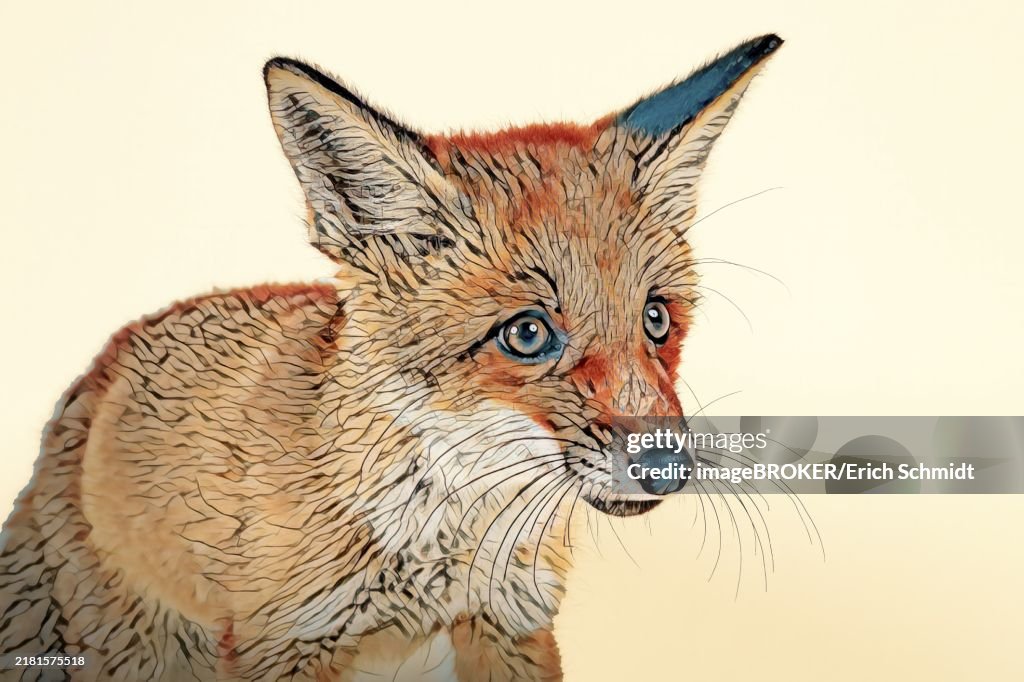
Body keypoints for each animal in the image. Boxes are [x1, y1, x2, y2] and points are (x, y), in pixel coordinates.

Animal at [0, 34, 782, 681]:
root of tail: (102, 366)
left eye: (656, 319)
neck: (435, 557)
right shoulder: (283, 640)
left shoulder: (509, 623)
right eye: (527, 335)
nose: (667, 467)